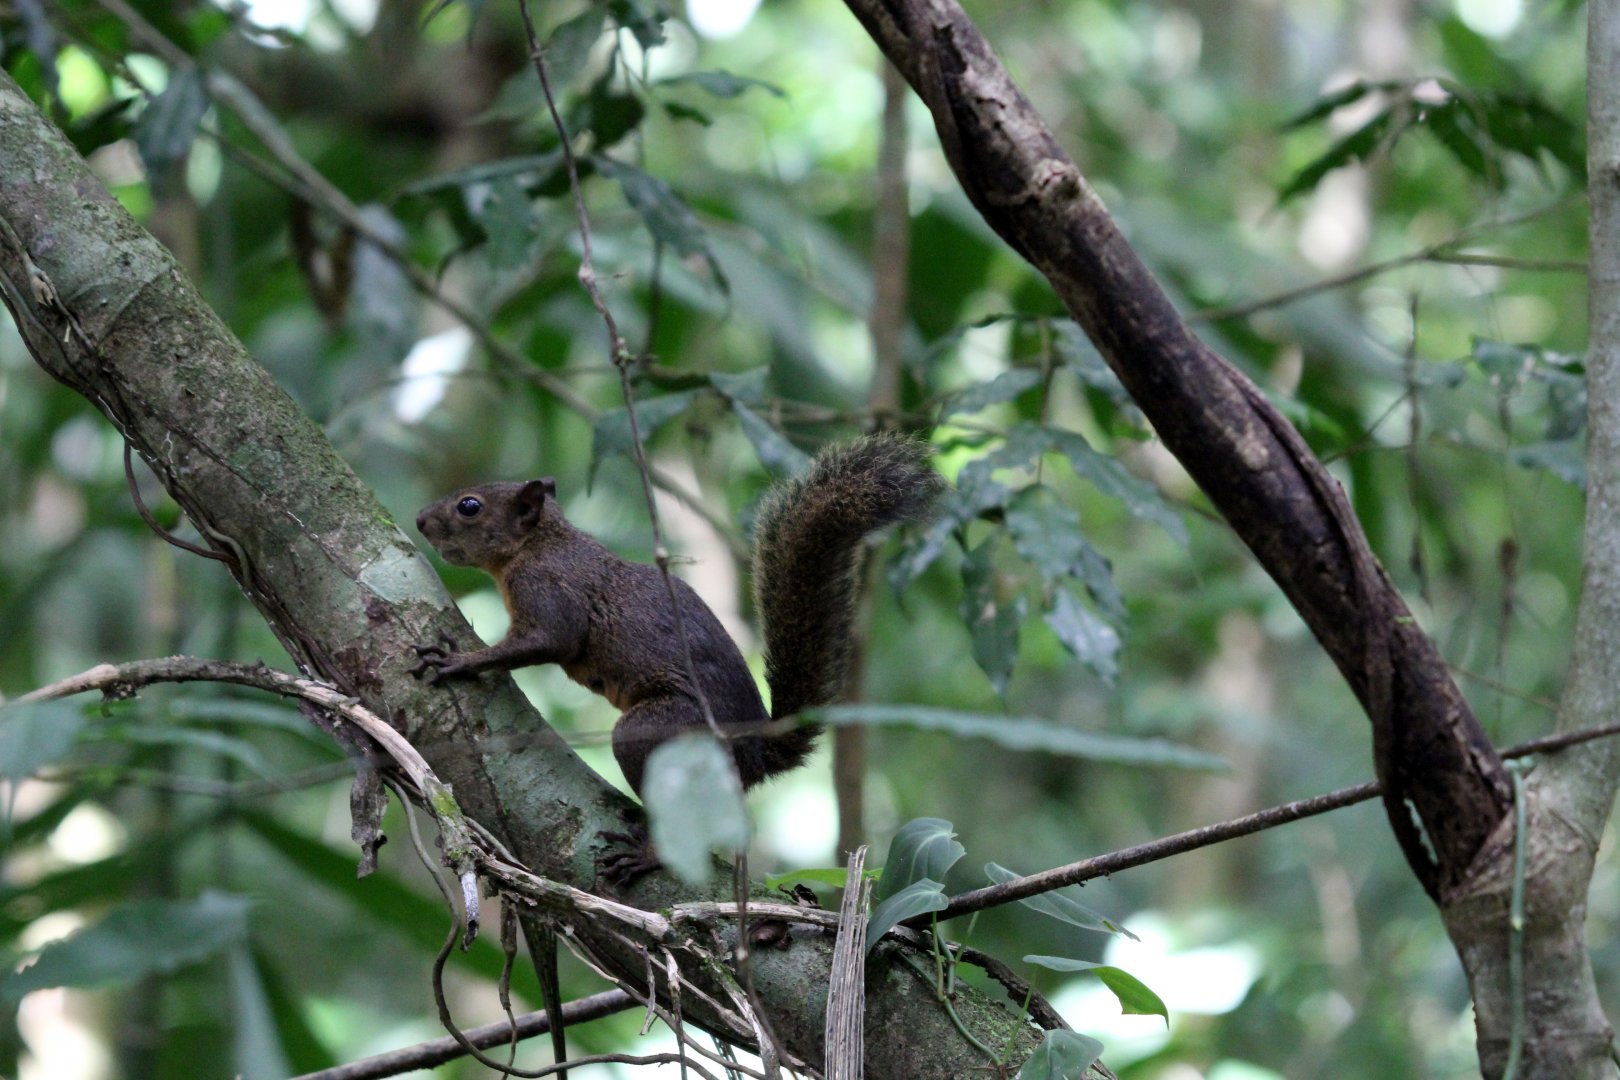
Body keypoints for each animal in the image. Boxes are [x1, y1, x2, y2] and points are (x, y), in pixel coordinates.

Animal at [410, 432, 943, 797]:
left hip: (664, 733)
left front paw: (457, 661)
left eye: (470, 506)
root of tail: (755, 758)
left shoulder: (548, 589)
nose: (419, 519)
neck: (538, 544)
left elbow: (551, 639)